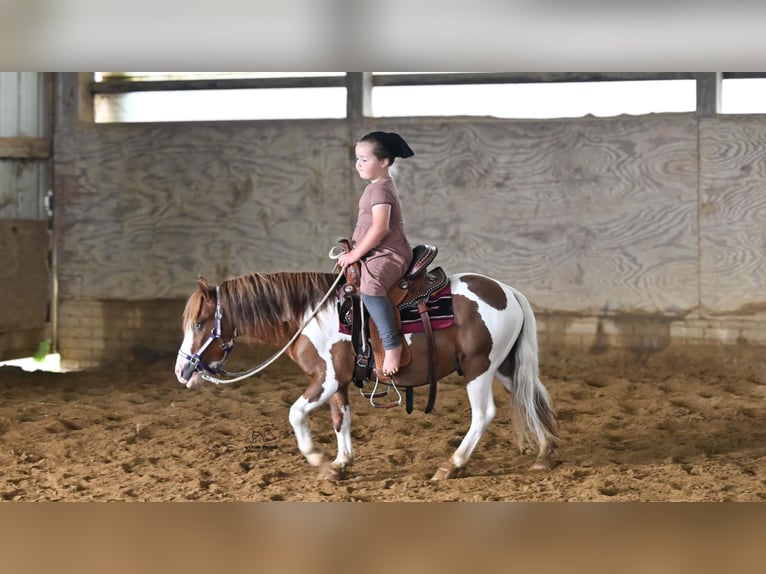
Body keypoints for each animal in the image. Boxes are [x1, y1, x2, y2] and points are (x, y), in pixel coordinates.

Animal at [174, 269, 559, 481]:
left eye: (199, 323)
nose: (181, 371)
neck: (310, 315)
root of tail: (507, 291)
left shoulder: (326, 379)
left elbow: (295, 414)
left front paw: (319, 460)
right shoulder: (339, 382)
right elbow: (340, 418)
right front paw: (340, 463)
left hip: (479, 368)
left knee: (483, 415)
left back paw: (452, 465)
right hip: (506, 367)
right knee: (532, 398)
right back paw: (544, 455)